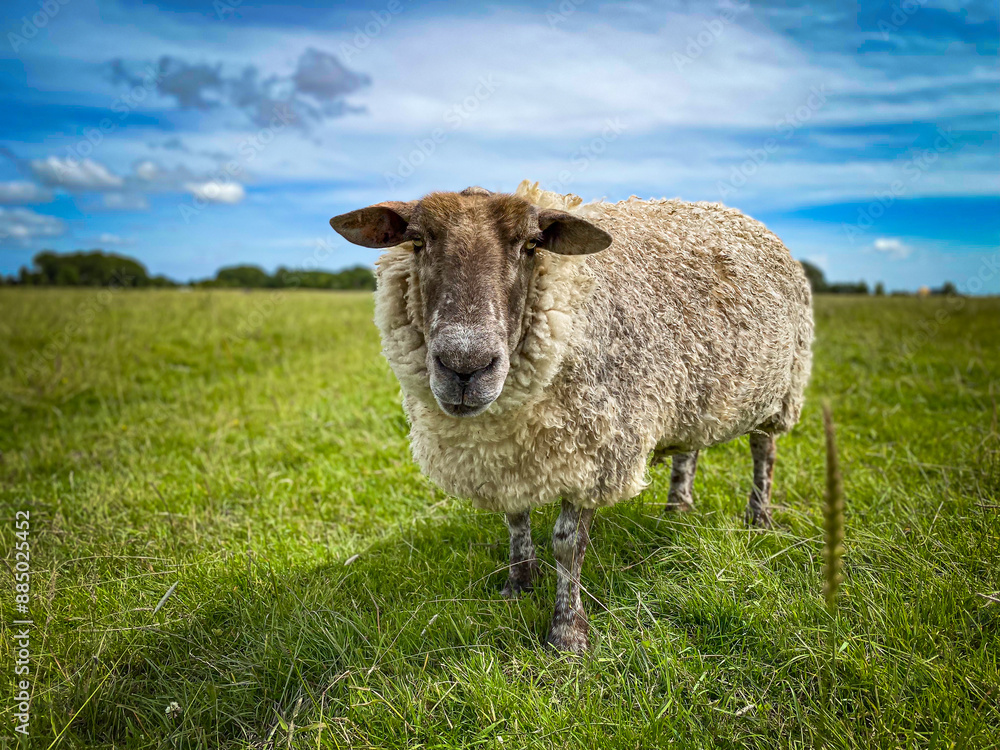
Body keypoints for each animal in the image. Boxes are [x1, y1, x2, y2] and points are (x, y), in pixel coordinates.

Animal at [329, 180, 813, 653]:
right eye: (417, 241)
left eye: (530, 244)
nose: (465, 366)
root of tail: (740, 215)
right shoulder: (509, 454)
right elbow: (515, 520)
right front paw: (518, 583)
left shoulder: (594, 452)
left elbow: (568, 544)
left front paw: (567, 632)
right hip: (693, 391)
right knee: (688, 450)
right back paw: (677, 509)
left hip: (779, 388)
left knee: (764, 452)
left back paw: (759, 519)